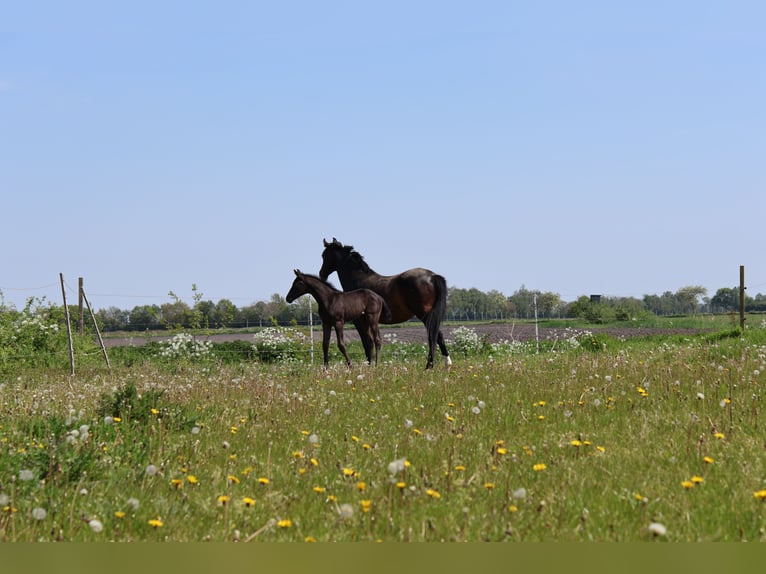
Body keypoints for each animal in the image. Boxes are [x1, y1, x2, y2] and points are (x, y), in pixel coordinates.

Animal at [319, 238, 451, 369]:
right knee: (436, 336)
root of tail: (432, 276)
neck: (358, 280)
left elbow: (367, 343)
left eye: (324, 255)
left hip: (425, 315)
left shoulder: (360, 322)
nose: (321, 274)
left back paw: (431, 365)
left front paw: (369, 364)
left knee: (435, 336)